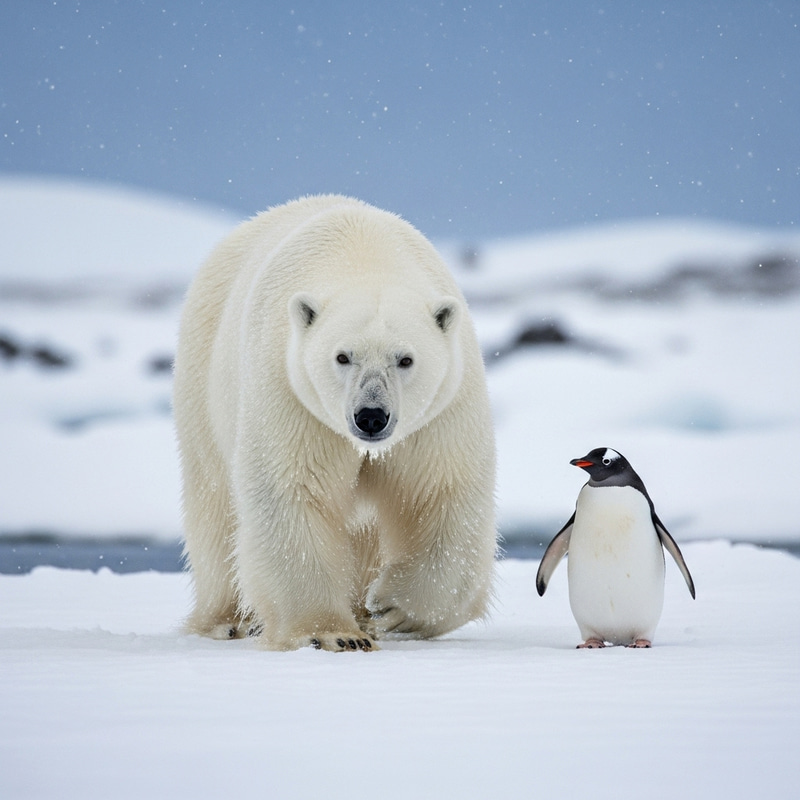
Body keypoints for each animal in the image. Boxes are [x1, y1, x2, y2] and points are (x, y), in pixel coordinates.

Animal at [173, 195, 496, 651]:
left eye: (405, 359)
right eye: (343, 356)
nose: (371, 416)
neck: (364, 254)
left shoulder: (441, 408)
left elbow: (440, 492)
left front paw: (392, 608)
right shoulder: (291, 392)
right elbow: (293, 490)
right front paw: (334, 634)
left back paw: (363, 610)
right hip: (202, 376)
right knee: (215, 504)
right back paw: (228, 620)